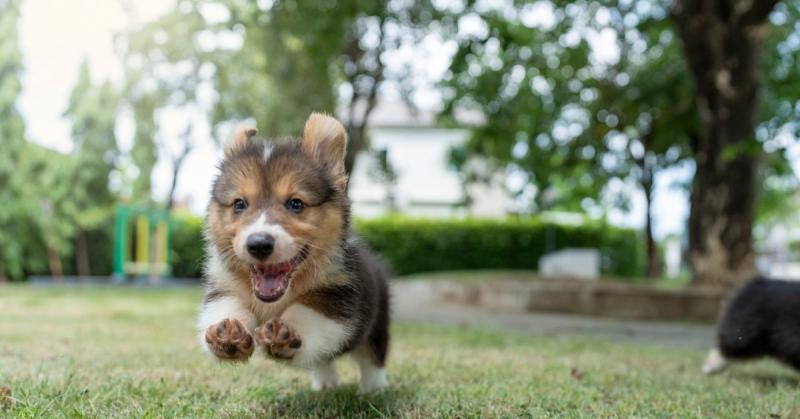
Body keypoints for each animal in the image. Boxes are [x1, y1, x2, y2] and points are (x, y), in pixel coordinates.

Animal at [197, 112, 390, 394]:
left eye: (295, 203)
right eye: (239, 204)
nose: (259, 244)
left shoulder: (337, 299)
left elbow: (306, 315)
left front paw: (285, 330)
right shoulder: (223, 290)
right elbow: (228, 308)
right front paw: (229, 331)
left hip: (378, 320)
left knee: (373, 355)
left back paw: (373, 388)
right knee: (323, 359)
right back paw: (326, 383)